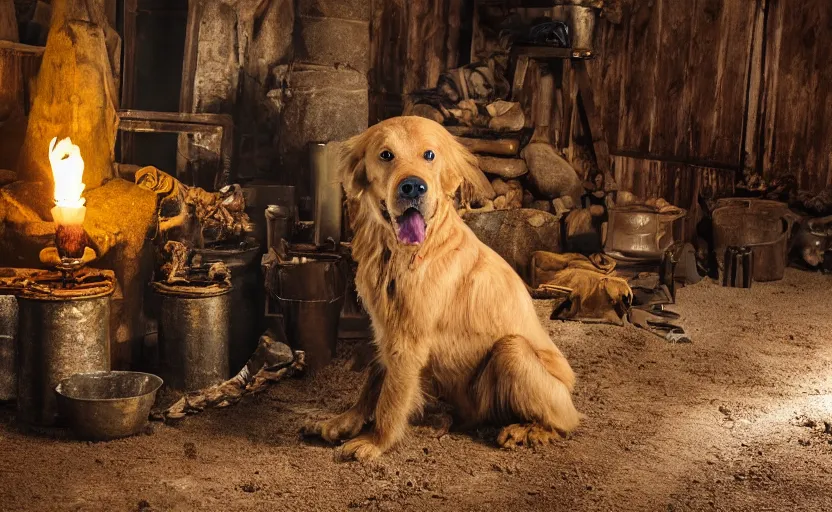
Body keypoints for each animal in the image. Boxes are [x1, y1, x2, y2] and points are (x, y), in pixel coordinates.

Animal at [302, 116, 580, 460]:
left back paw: (524, 431)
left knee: (564, 422)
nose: (413, 186)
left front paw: (376, 441)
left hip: (512, 351)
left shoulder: (409, 340)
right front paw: (344, 422)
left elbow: (390, 399)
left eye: (429, 155)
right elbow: (373, 381)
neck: (402, 254)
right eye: (386, 154)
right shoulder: (386, 328)